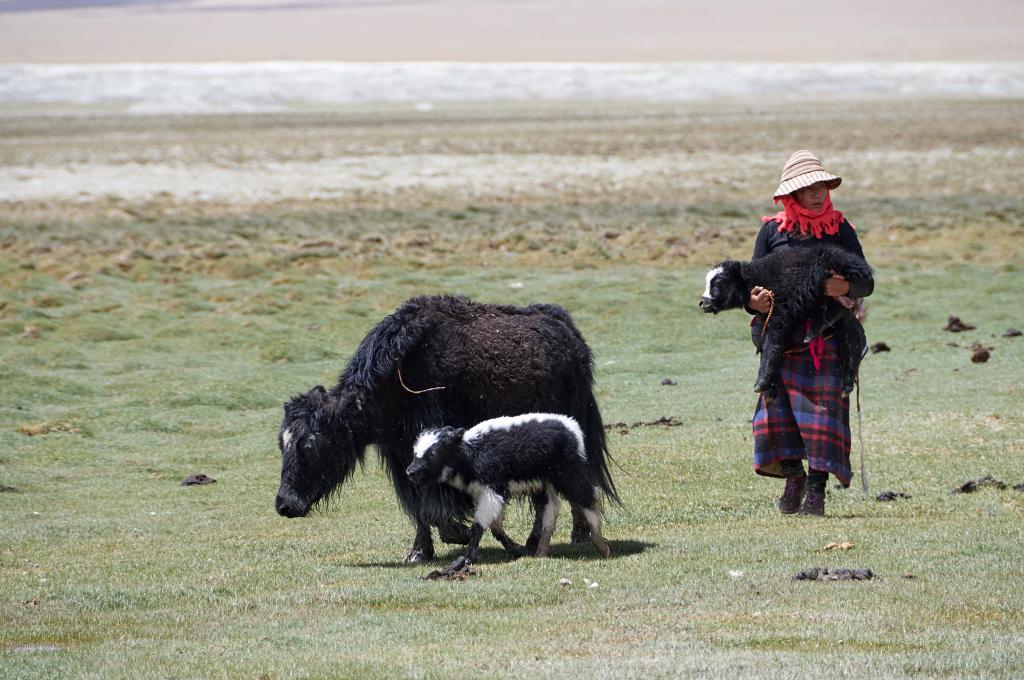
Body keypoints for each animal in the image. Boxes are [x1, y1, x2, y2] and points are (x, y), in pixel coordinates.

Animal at [405, 413, 610, 573]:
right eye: (415, 453)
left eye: (434, 453)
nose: (410, 472)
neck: (470, 453)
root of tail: (571, 426)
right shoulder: (490, 494)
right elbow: (495, 526)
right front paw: (516, 549)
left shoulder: (492, 491)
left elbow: (479, 526)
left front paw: (468, 558)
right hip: (546, 483)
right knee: (551, 509)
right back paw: (540, 552)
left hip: (569, 474)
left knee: (590, 497)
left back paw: (602, 546)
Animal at [700, 242, 876, 401]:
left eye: (719, 283)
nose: (702, 302)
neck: (758, 278)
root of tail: (860, 265)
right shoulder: (768, 314)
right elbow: (770, 344)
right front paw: (770, 389)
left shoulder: (781, 312)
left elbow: (772, 344)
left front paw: (761, 383)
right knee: (851, 333)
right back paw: (847, 384)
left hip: (831, 285)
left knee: (838, 311)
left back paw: (812, 333)